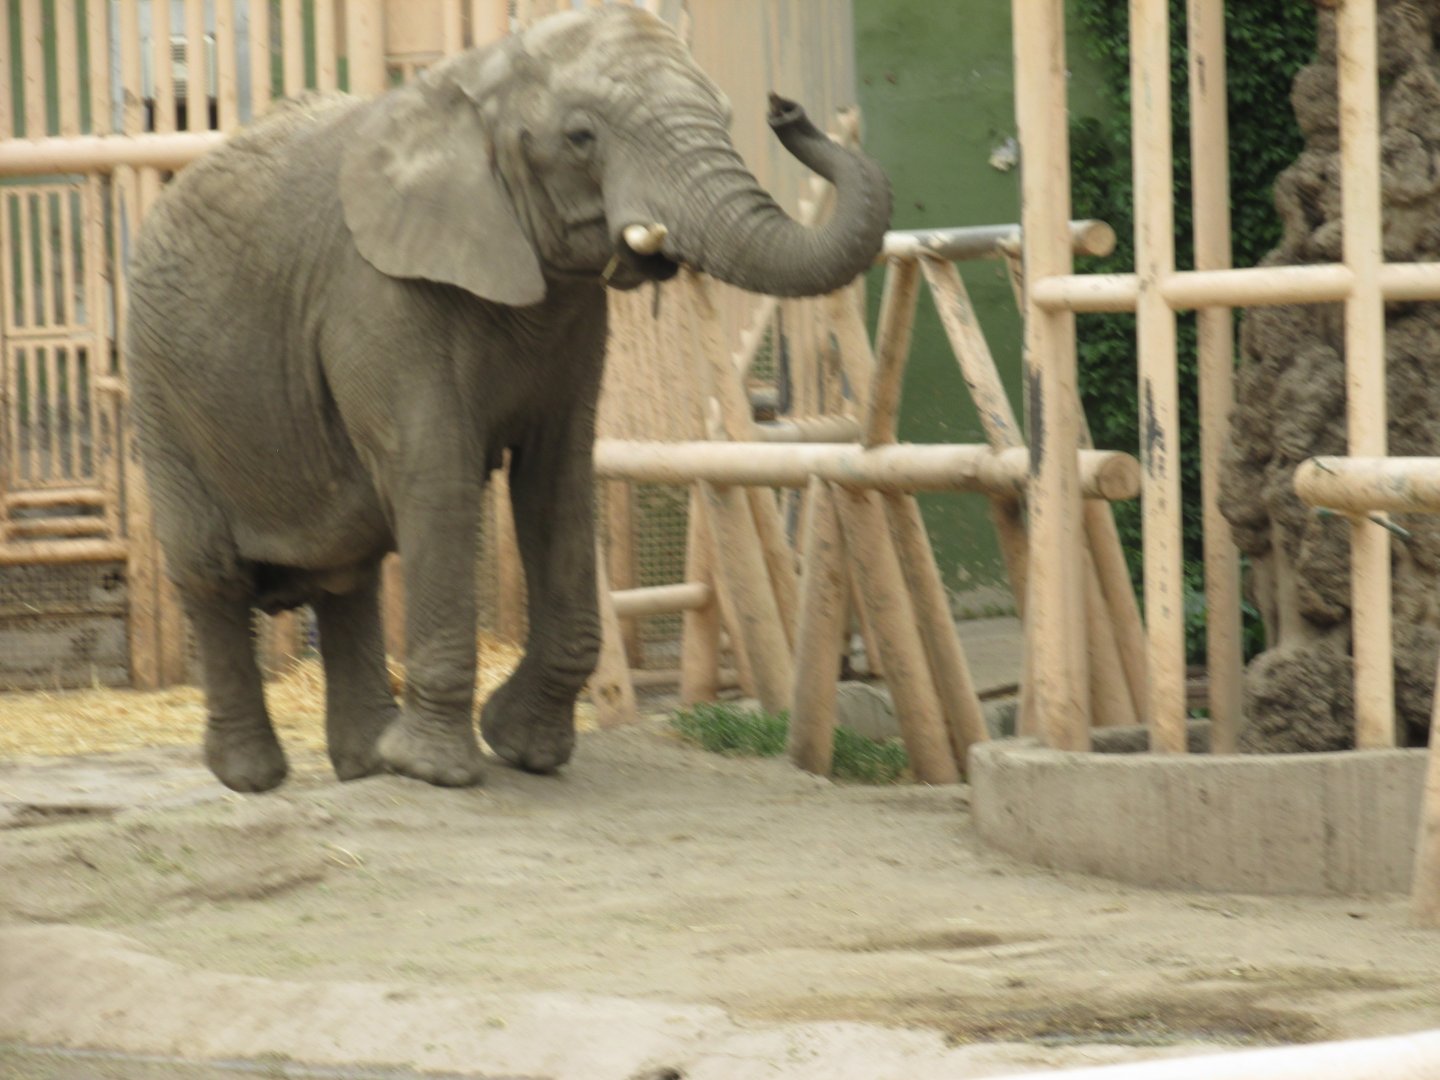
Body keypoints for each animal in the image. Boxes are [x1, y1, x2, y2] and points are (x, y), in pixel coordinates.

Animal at [126, 4, 892, 793]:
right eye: (581, 137)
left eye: (731, 117)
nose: (788, 110)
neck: (472, 84)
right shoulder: (377, 294)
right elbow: (434, 477)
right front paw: (439, 772)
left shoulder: (574, 315)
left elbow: (557, 480)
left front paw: (524, 750)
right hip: (158, 381)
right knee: (212, 572)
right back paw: (254, 775)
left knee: (349, 572)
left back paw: (368, 765)